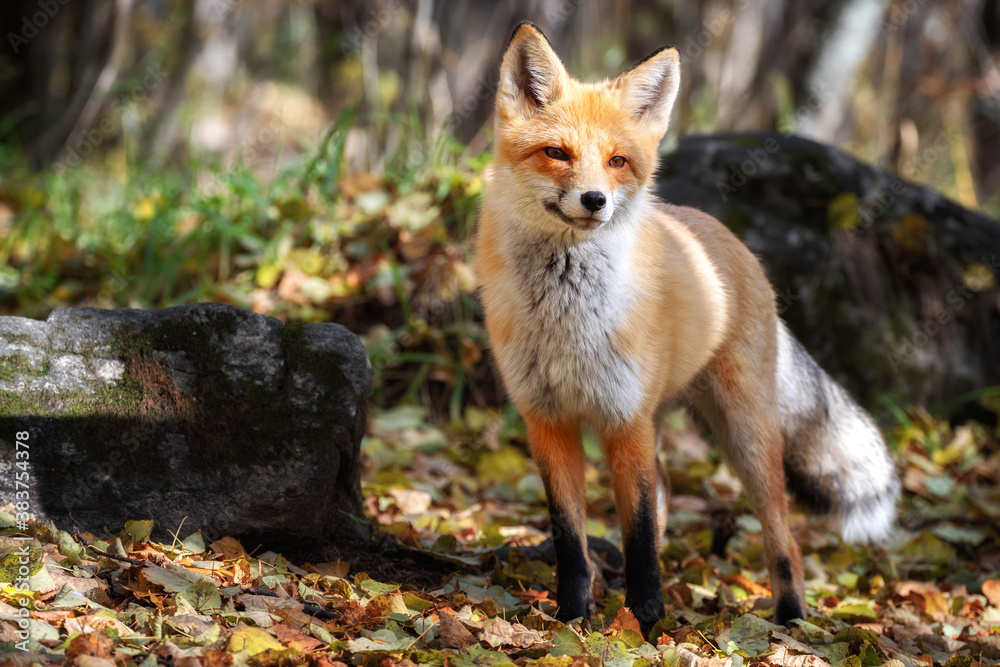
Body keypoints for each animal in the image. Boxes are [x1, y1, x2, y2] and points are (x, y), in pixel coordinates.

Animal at [474, 22, 901, 634]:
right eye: (557, 153)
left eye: (617, 161)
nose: (595, 200)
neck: (568, 320)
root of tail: (727, 238)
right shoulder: (548, 421)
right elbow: (570, 541)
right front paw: (573, 618)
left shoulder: (624, 419)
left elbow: (638, 535)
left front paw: (648, 624)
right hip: (666, 422)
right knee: (667, 494)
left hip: (744, 437)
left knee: (784, 536)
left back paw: (791, 619)